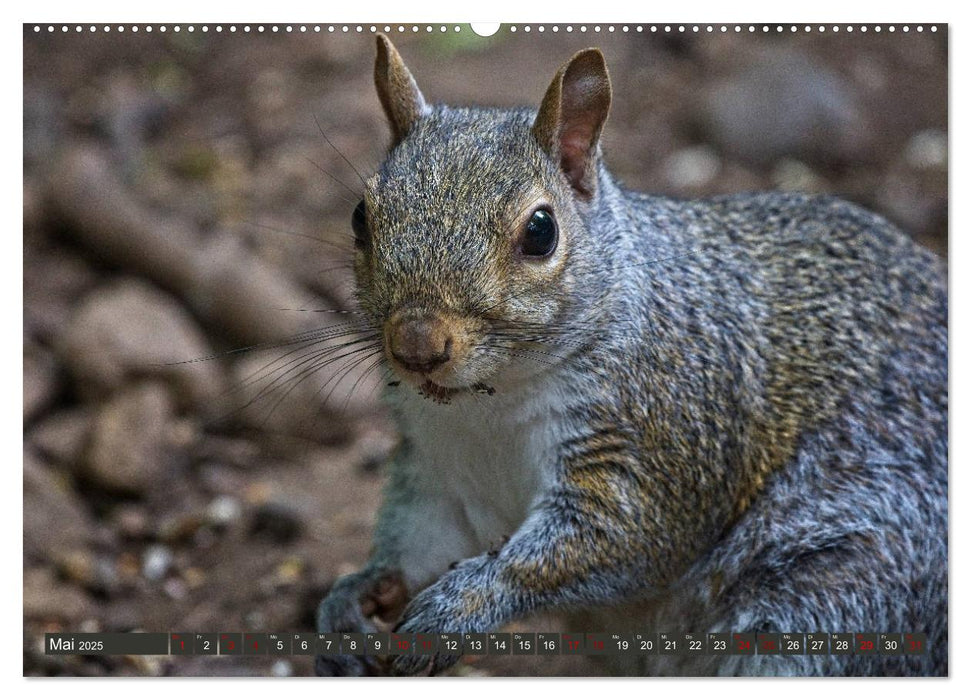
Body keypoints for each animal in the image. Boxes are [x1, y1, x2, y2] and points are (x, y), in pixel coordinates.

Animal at [314, 35, 948, 676]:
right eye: (360, 216)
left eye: (540, 231)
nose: (416, 344)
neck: (489, 402)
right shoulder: (436, 469)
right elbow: (420, 541)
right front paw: (354, 596)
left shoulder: (661, 436)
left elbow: (613, 541)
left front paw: (458, 608)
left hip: (845, 585)